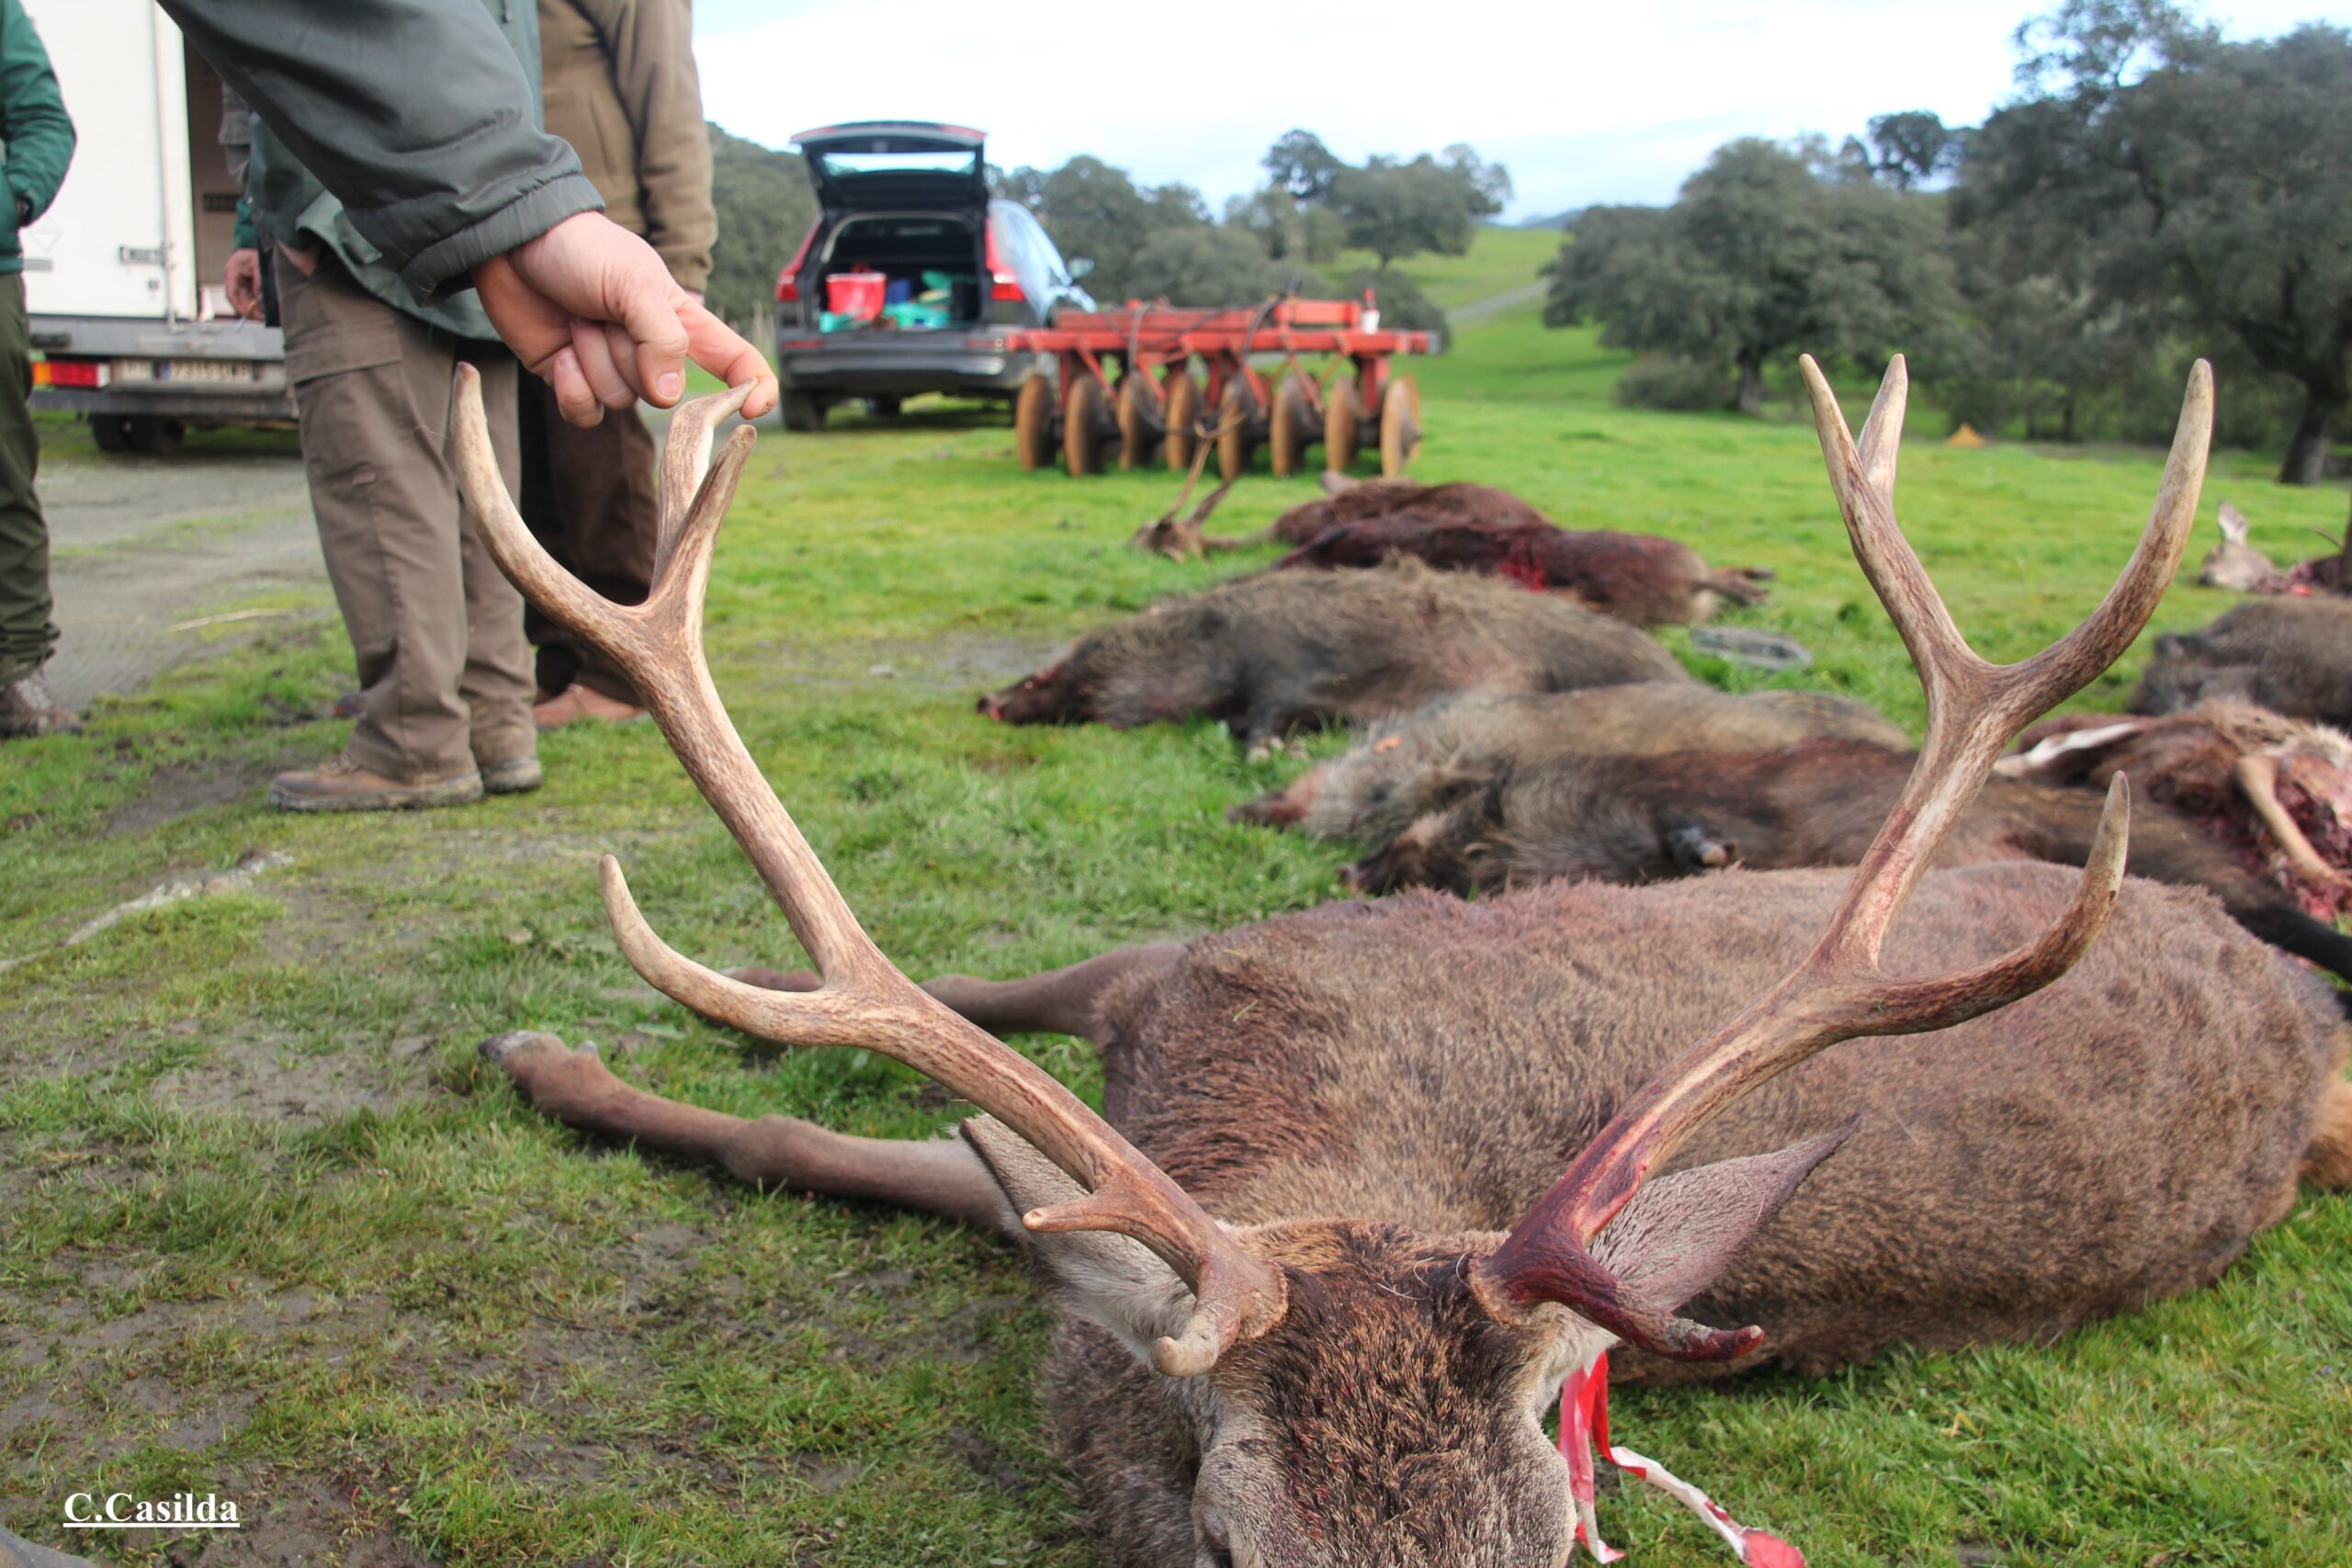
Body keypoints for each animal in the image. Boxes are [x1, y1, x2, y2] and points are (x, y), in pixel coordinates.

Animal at [452, 355, 2352, 1568]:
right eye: (1225, 1543)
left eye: (1558, 1545)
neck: (1284, 1101)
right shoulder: (1200, 962)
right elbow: (947, 1033)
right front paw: (596, 1037)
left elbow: (829, 1141)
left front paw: (551, 1057)